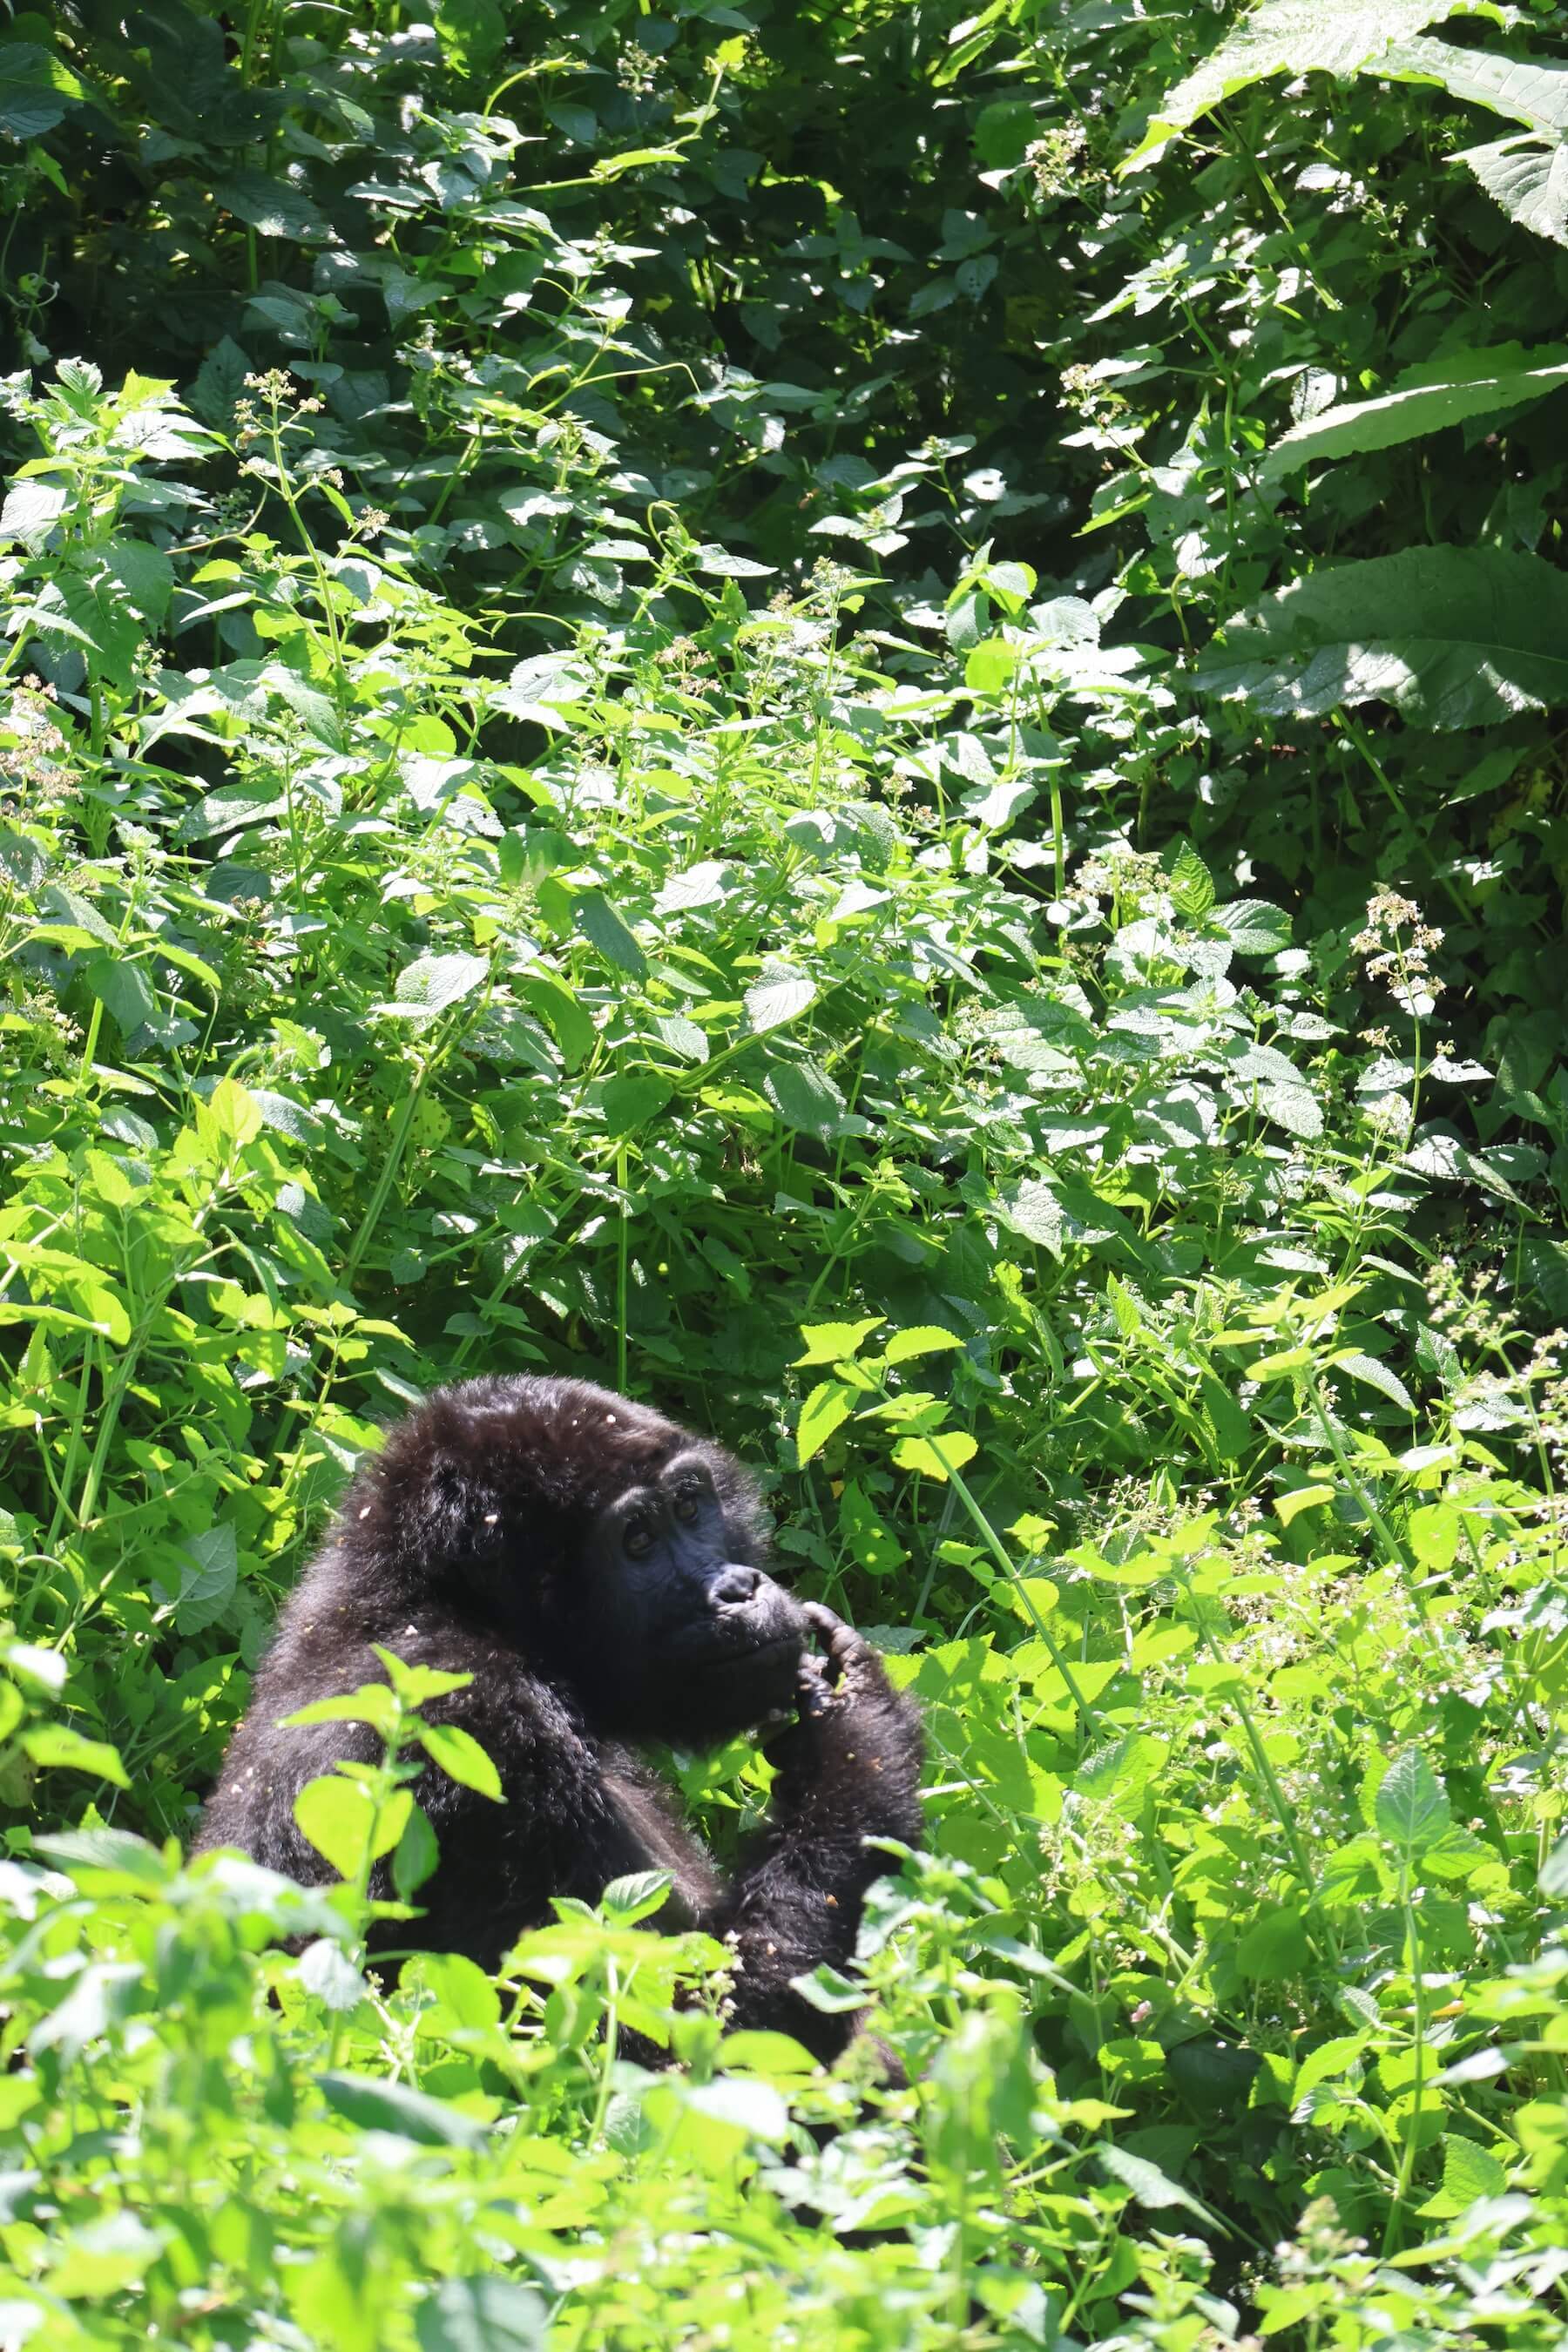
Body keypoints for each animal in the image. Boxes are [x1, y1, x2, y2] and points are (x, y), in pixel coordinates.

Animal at [194, 1373, 921, 2060]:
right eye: (637, 1540)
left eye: (690, 1507)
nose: (739, 1589)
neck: (441, 1605)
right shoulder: (465, 1732)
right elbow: (669, 2045)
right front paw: (856, 1741)